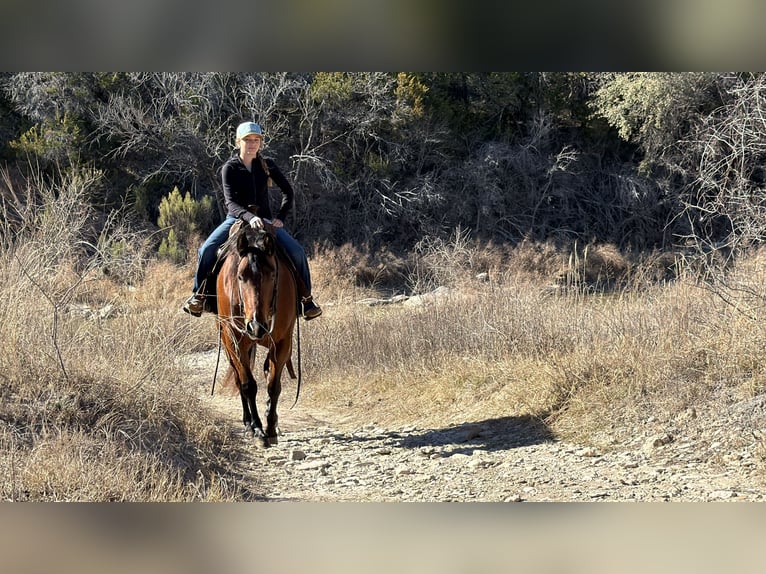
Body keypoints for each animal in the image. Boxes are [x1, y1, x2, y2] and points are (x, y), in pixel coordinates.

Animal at [215, 223, 299, 447]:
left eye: (272, 274)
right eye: (240, 276)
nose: (255, 326)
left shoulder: (283, 341)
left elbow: (273, 385)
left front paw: (270, 428)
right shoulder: (234, 340)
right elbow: (248, 385)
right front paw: (258, 429)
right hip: (229, 344)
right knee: (238, 379)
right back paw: (248, 423)